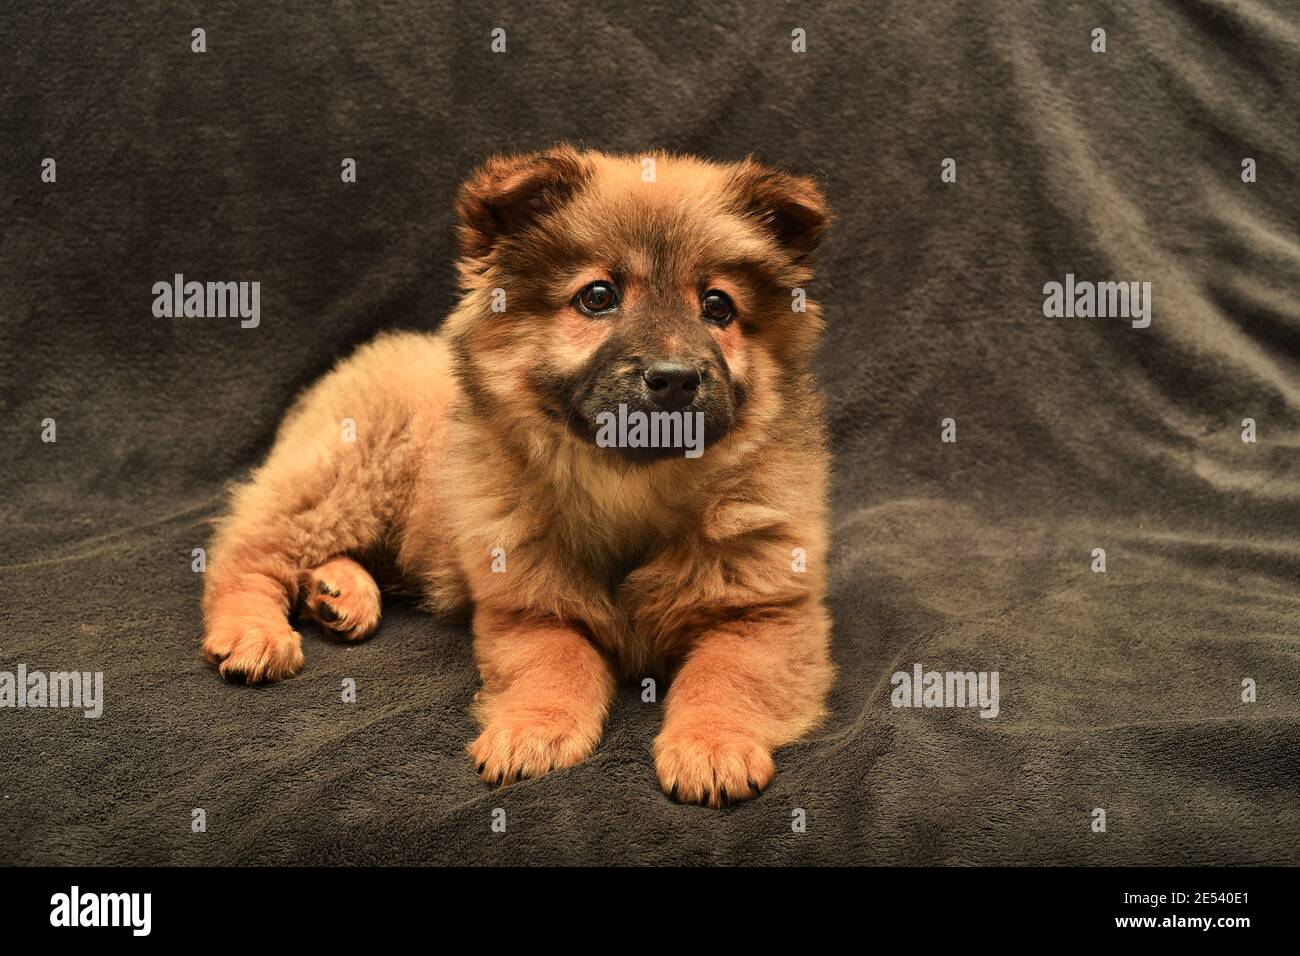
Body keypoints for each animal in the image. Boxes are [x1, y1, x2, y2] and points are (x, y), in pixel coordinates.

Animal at [202, 147, 832, 806]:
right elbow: (556, 664)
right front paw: (533, 730)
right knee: (247, 553)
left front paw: (712, 744)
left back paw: (339, 594)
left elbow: (726, 675)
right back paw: (255, 632)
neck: (629, 484)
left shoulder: (768, 613)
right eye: (598, 297)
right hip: (350, 478)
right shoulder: (530, 608)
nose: (677, 378)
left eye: (717, 307)